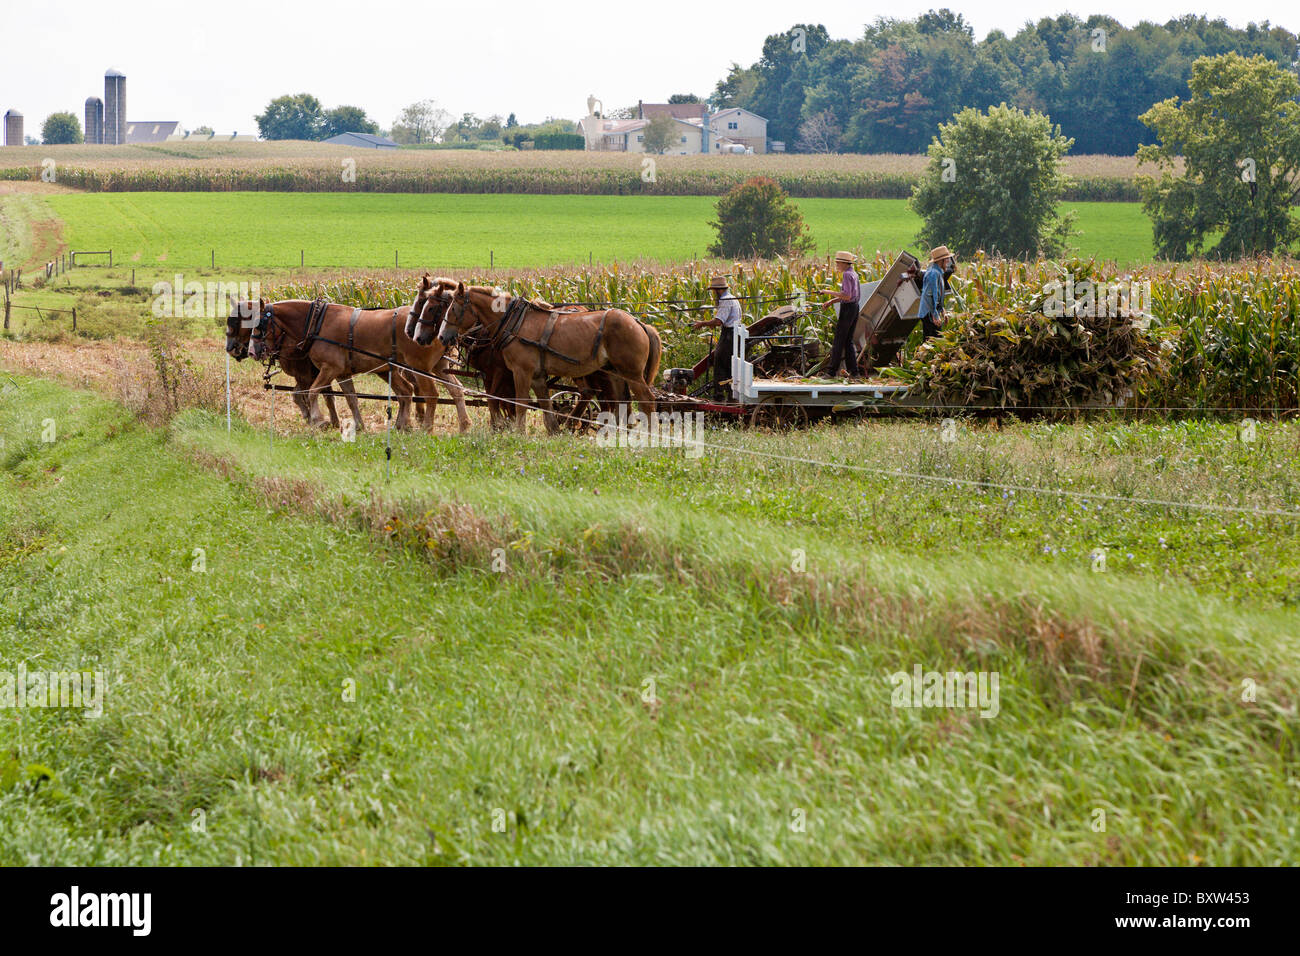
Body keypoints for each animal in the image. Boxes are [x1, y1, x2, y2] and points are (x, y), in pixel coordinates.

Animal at [416, 281, 659, 433]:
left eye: (451, 309)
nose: (441, 336)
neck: (514, 323)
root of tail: (638, 323)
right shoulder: (536, 376)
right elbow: (543, 405)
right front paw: (554, 431)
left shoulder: (518, 372)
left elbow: (518, 403)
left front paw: (516, 432)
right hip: (615, 373)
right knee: (619, 402)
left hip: (631, 374)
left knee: (646, 402)